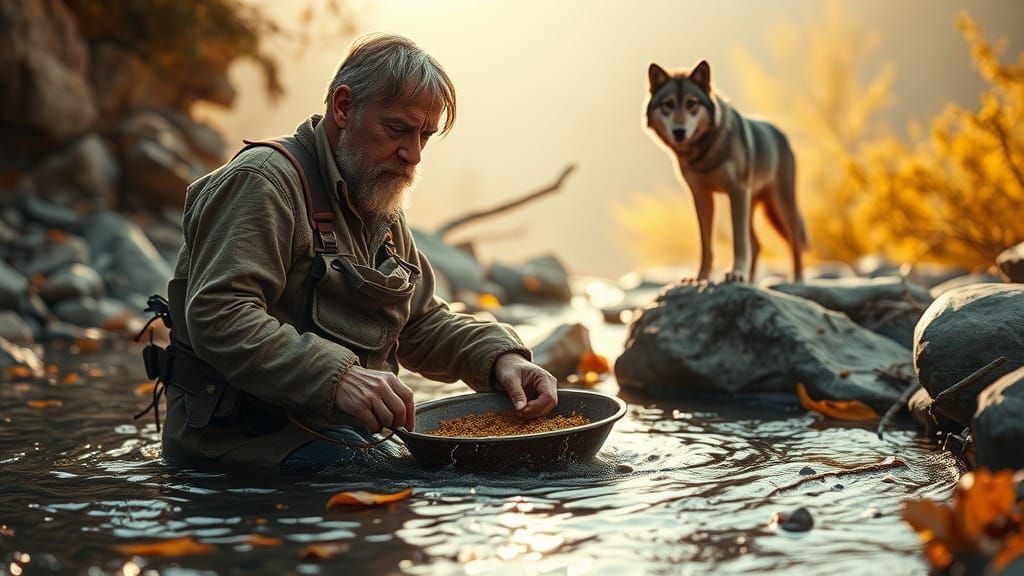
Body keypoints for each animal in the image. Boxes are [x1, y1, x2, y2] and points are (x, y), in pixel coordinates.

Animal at [644, 60, 807, 282]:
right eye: (668, 104)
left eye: (692, 103)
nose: (679, 132)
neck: (704, 153)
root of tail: (781, 134)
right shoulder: (702, 197)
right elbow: (706, 246)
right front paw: (700, 277)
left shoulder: (736, 192)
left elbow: (739, 241)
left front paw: (736, 273)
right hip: (754, 206)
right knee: (757, 244)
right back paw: (751, 280)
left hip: (780, 206)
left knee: (793, 238)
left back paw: (796, 278)